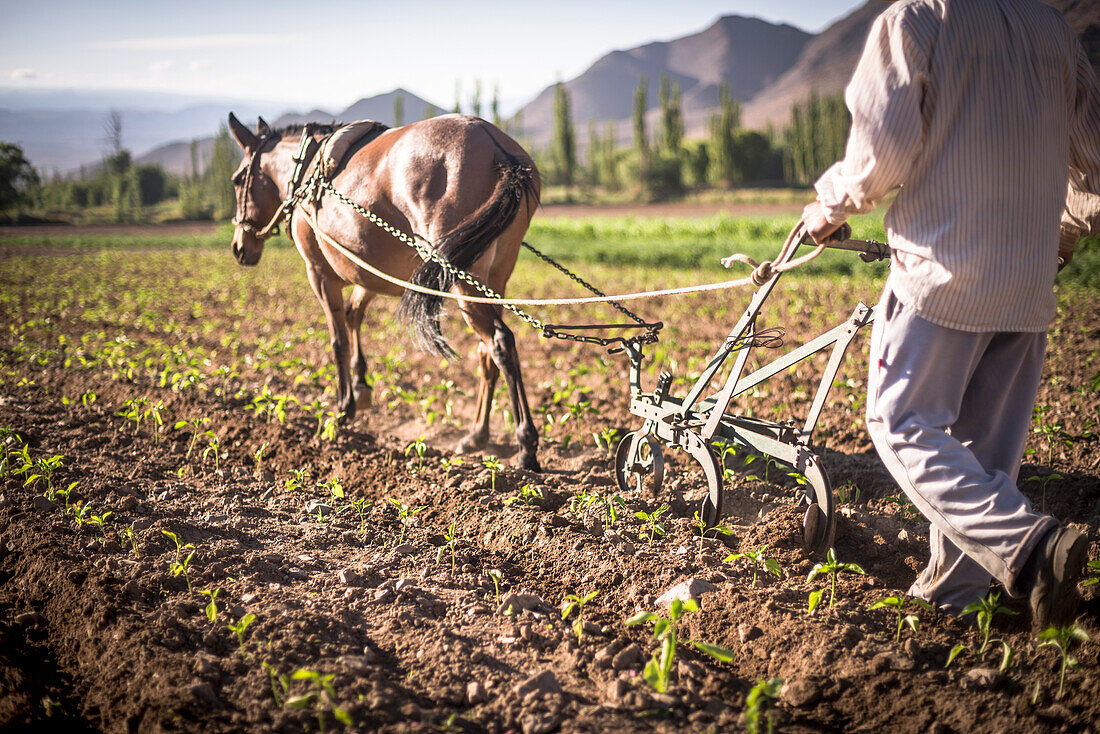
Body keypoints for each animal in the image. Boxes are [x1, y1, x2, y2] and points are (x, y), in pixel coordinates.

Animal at [228, 112, 545, 473]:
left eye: (238, 179)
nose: (239, 247)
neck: (307, 171)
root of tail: (494, 144)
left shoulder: (319, 273)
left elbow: (337, 339)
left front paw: (343, 409)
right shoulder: (369, 274)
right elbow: (354, 316)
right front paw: (362, 386)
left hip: (463, 280)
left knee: (500, 343)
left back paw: (526, 445)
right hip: (493, 281)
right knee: (486, 353)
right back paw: (477, 435)